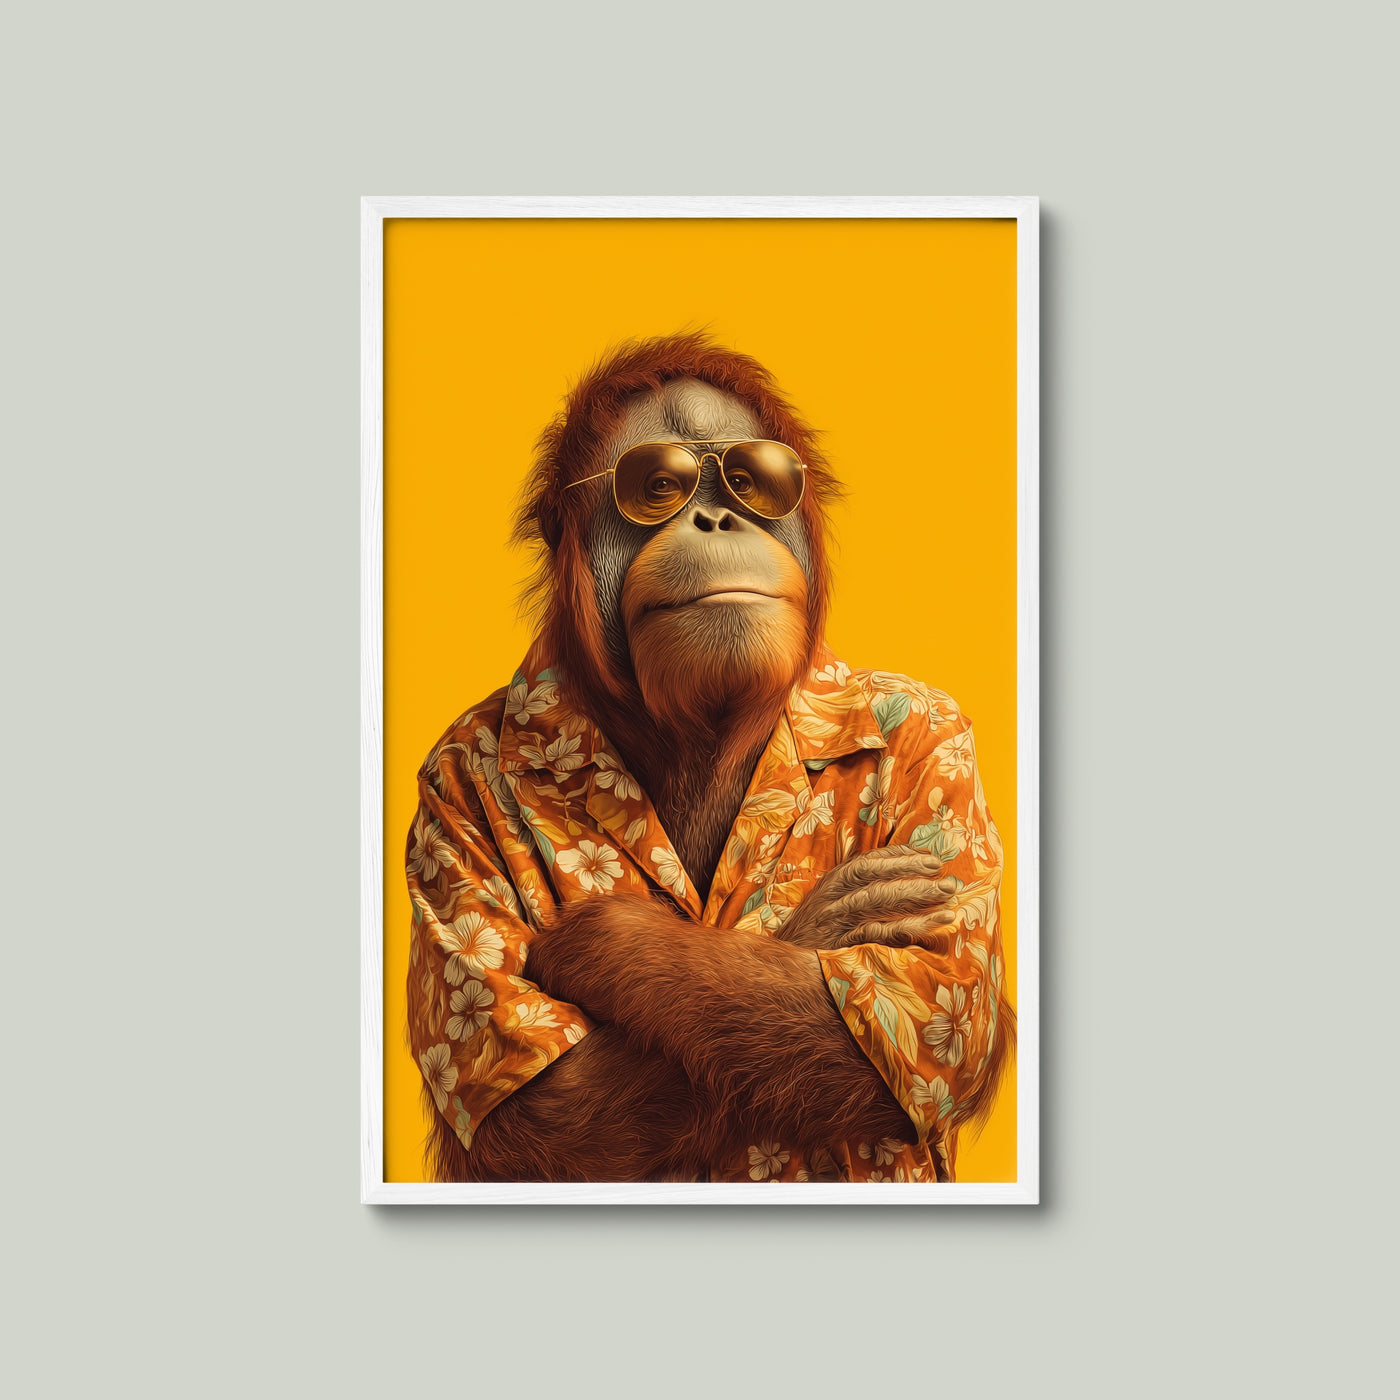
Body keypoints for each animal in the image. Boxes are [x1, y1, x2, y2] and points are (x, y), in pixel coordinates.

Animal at [408, 332, 1014, 1184]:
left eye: (752, 481)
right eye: (658, 486)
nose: (717, 515)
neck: (702, 732)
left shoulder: (943, 738)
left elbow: (928, 995)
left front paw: (607, 939)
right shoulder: (446, 780)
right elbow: (548, 1106)